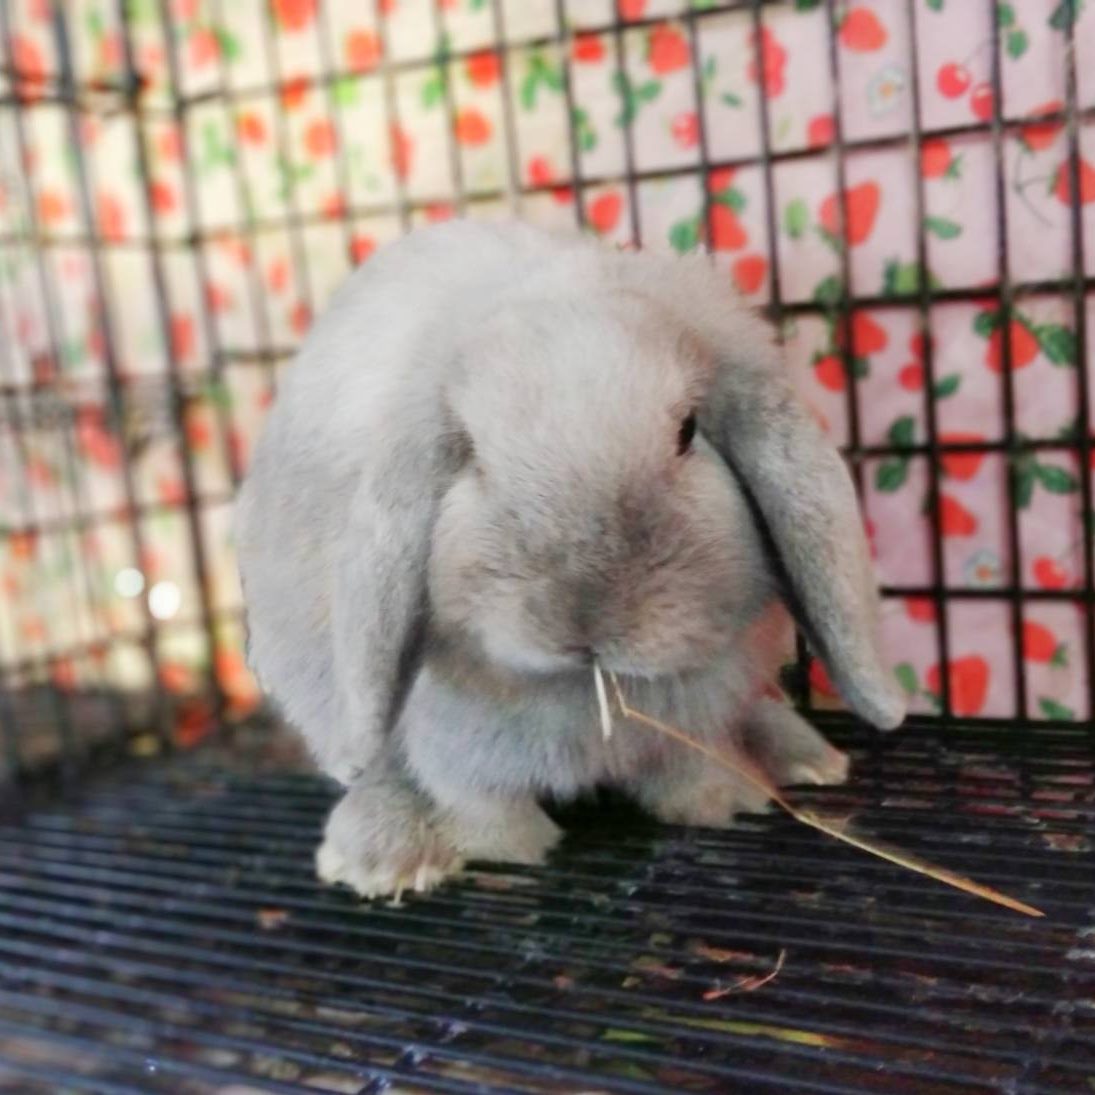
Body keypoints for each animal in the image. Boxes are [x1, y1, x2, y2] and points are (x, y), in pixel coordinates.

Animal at [235, 219, 905, 899]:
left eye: (688, 431)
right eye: (472, 456)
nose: (589, 622)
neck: (587, 691)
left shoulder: (693, 727)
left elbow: (691, 767)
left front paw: (726, 802)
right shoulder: (457, 754)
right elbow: (479, 803)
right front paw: (511, 851)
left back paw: (803, 757)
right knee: (376, 775)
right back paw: (387, 858)